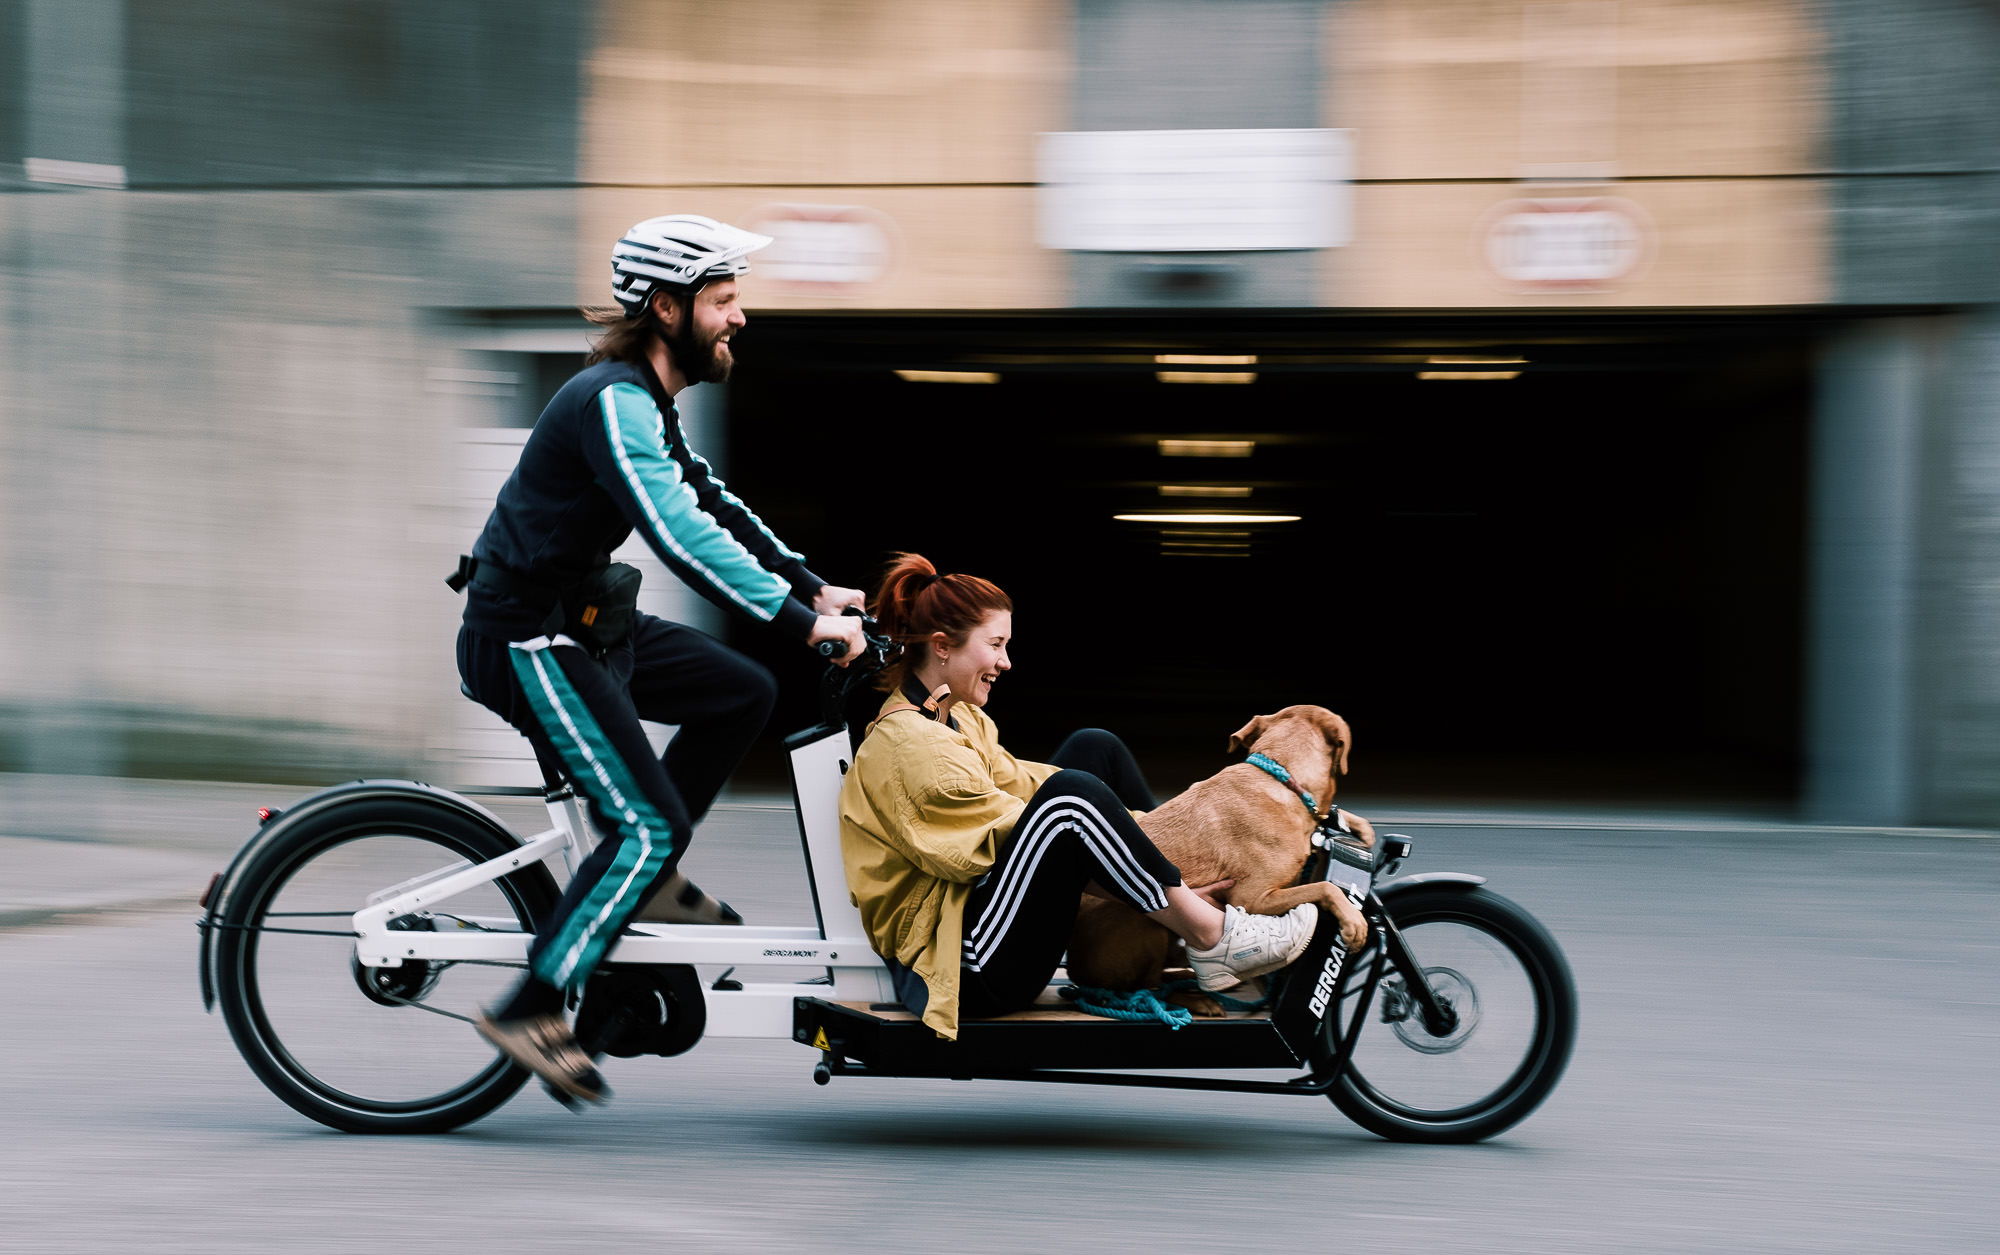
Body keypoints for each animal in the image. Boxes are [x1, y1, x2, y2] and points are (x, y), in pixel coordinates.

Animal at [1064, 711, 1376, 995]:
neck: (1283, 778)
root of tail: (1074, 971)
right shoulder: (1251, 899)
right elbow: (1325, 887)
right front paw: (1353, 921)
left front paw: (1361, 827)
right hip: (1143, 914)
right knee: (1148, 985)